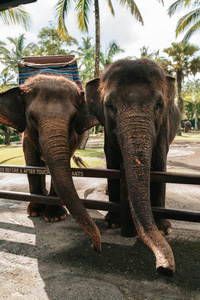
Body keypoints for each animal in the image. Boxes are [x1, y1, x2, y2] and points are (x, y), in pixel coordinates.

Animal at [0, 74, 101, 252]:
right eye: (32, 118)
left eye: (73, 119)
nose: (95, 247)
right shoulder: (26, 135)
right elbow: (31, 163)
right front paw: (35, 212)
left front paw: (54, 217)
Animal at [86, 57, 181, 276]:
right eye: (110, 105)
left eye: (159, 104)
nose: (164, 269)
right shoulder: (107, 128)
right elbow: (112, 160)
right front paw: (112, 222)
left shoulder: (162, 126)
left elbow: (159, 163)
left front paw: (164, 229)